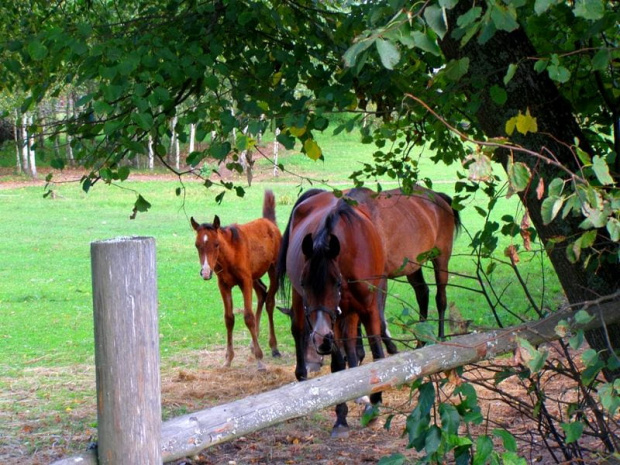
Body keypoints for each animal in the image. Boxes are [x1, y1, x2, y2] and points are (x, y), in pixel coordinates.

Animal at [190, 188, 282, 370]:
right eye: (197, 245)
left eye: (216, 244)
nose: (206, 272)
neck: (230, 255)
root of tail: (270, 223)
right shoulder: (224, 285)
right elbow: (229, 318)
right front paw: (228, 359)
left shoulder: (244, 282)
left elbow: (248, 317)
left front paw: (260, 360)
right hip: (254, 276)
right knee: (262, 293)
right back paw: (254, 345)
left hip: (273, 270)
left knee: (269, 302)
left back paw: (273, 347)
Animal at [274, 188, 386, 436]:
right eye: (305, 283)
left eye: (335, 283)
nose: (320, 338)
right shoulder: (331, 319)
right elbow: (337, 366)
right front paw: (341, 418)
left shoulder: (367, 307)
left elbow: (377, 353)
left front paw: (373, 404)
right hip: (304, 306)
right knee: (299, 331)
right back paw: (302, 377)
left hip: (348, 313)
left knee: (352, 345)